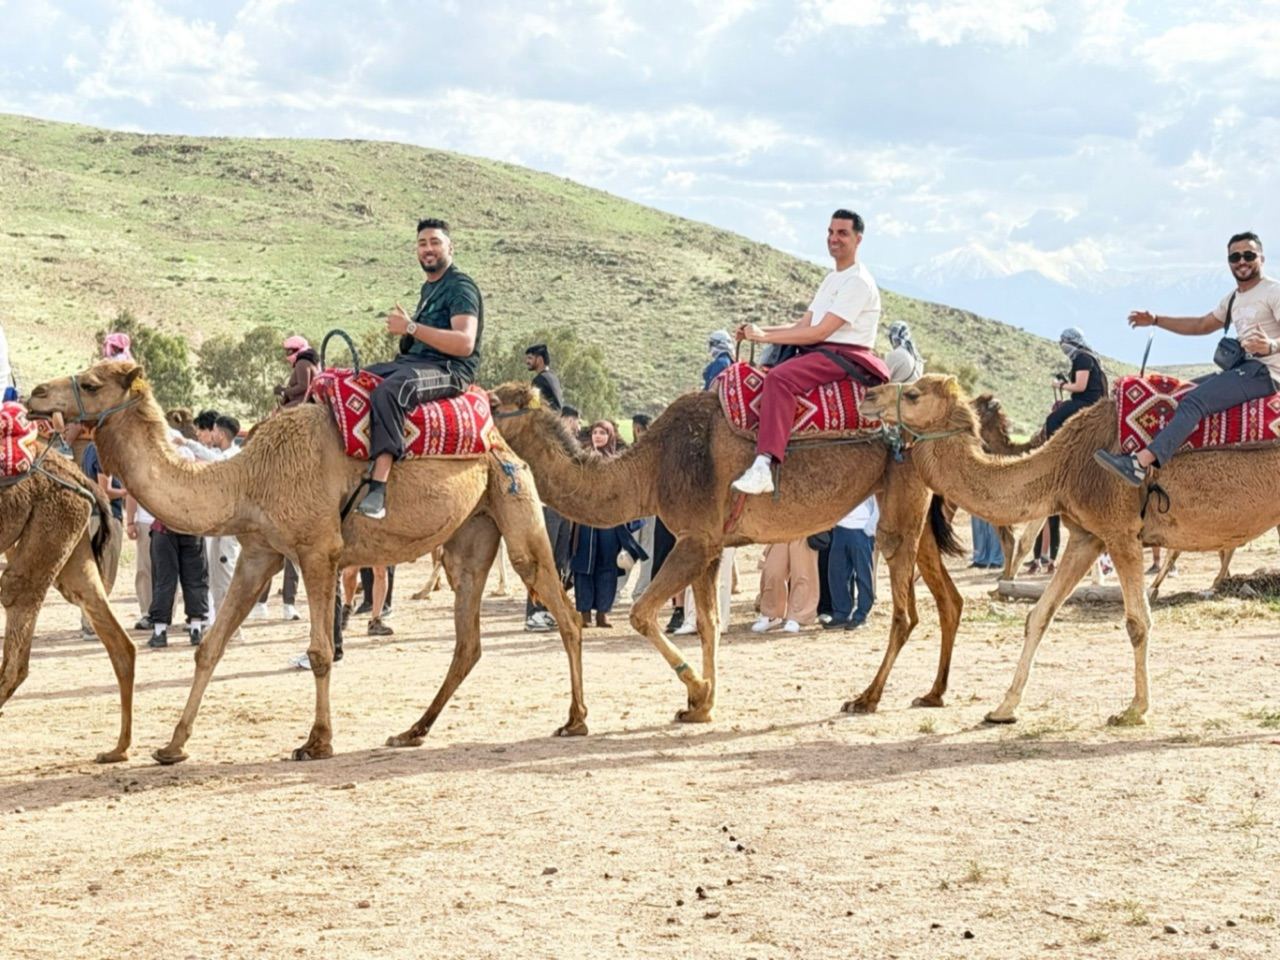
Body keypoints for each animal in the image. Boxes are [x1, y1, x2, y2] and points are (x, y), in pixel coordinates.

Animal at [0, 450, 136, 762]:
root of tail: (79, 477)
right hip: (71, 548)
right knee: (118, 639)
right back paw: (118, 749)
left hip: (54, 523)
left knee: (17, 594)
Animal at [28, 361, 584, 764]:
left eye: (90, 383)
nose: (34, 394)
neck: (246, 476)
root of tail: (499, 437)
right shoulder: (260, 552)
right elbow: (210, 647)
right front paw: (172, 745)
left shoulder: (318, 549)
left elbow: (319, 652)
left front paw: (316, 742)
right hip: (470, 534)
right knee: (468, 640)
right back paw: (411, 731)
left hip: (515, 498)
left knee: (564, 611)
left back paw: (575, 719)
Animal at [489, 381, 965, 721]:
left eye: (492, 402)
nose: (473, 406)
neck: (650, 470)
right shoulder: (711, 545)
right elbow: (709, 624)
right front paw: (702, 705)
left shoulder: (694, 540)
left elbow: (642, 614)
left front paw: (698, 692)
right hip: (916, 505)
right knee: (950, 600)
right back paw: (933, 694)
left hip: (898, 508)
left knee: (905, 612)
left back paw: (866, 698)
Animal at [861, 375, 1280, 726]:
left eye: (913, 394)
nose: (869, 395)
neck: (1065, 465)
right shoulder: (1087, 537)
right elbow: (1039, 616)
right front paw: (1003, 708)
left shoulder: (1120, 532)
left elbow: (1137, 622)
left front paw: (1134, 710)